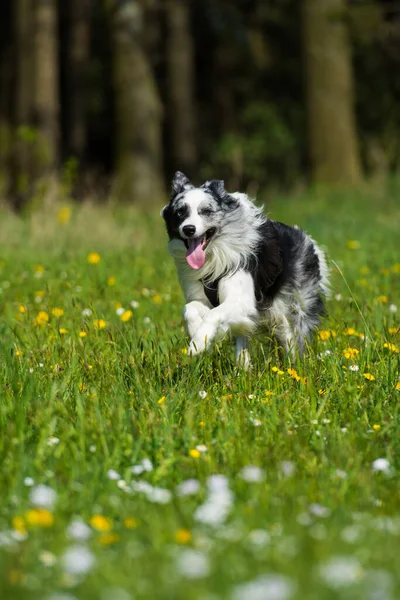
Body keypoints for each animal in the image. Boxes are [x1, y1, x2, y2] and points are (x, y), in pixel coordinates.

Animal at [161, 169, 330, 366]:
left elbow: (214, 314)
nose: (188, 229)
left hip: (291, 307)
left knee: (292, 336)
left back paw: (294, 367)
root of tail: (306, 239)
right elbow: (189, 308)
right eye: (180, 212)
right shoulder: (202, 297)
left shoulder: (243, 301)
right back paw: (244, 368)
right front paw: (196, 333)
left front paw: (198, 343)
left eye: (206, 211)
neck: (214, 254)